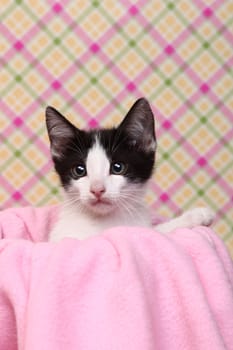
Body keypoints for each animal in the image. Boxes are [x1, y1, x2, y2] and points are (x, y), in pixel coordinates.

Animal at [46, 98, 215, 241]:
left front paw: (196, 216)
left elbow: (154, 232)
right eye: (79, 170)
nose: (97, 190)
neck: (106, 222)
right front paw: (197, 215)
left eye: (118, 167)